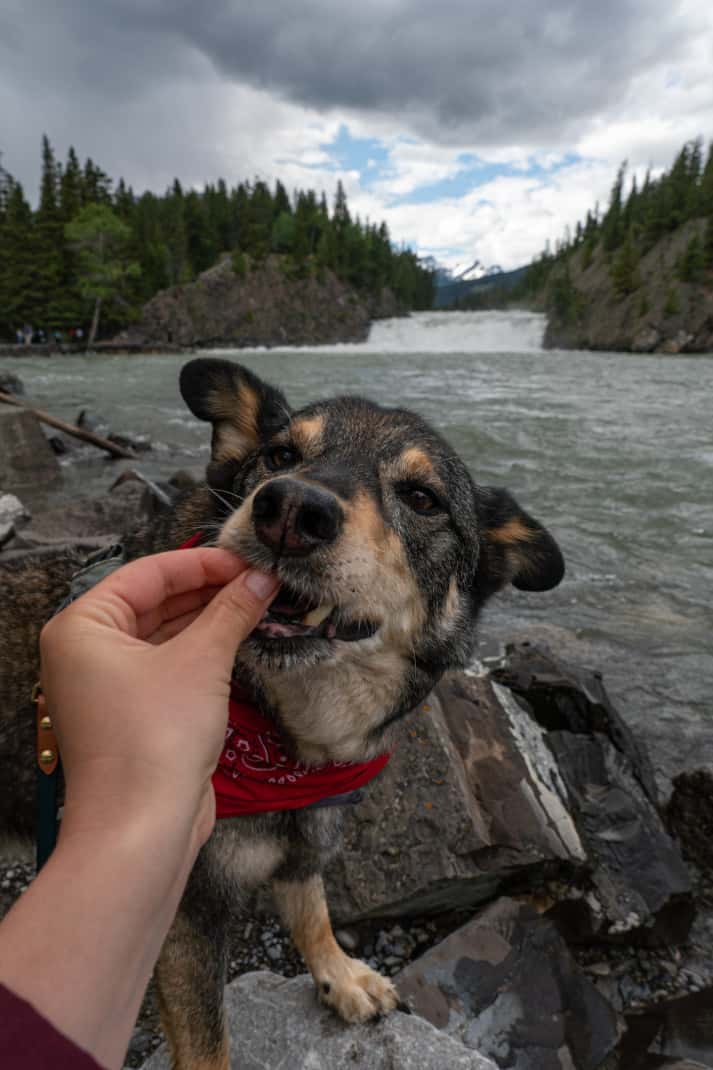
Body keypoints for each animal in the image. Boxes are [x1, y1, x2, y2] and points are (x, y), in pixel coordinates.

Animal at [1, 361, 560, 1070]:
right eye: (281, 456)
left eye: (422, 498)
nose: (291, 508)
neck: (292, 741)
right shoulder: (185, 910)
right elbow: (208, 1044)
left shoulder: (308, 835)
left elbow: (311, 907)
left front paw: (339, 975)